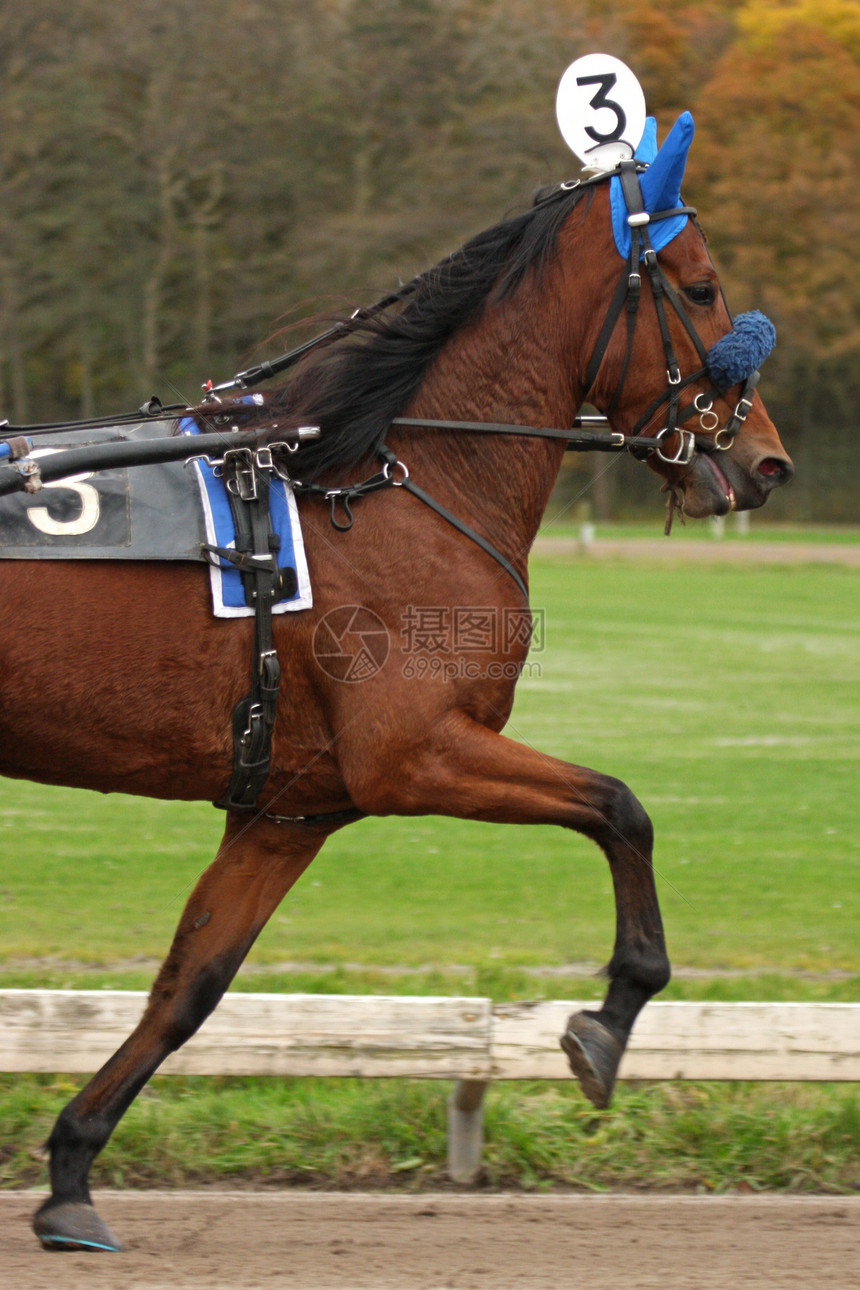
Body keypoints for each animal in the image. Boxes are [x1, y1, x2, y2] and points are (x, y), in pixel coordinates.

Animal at [0, 150, 794, 1248]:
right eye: (705, 286)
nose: (767, 461)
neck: (382, 476)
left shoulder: (291, 807)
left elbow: (187, 988)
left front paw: (73, 1173)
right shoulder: (411, 753)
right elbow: (618, 807)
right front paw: (607, 1019)